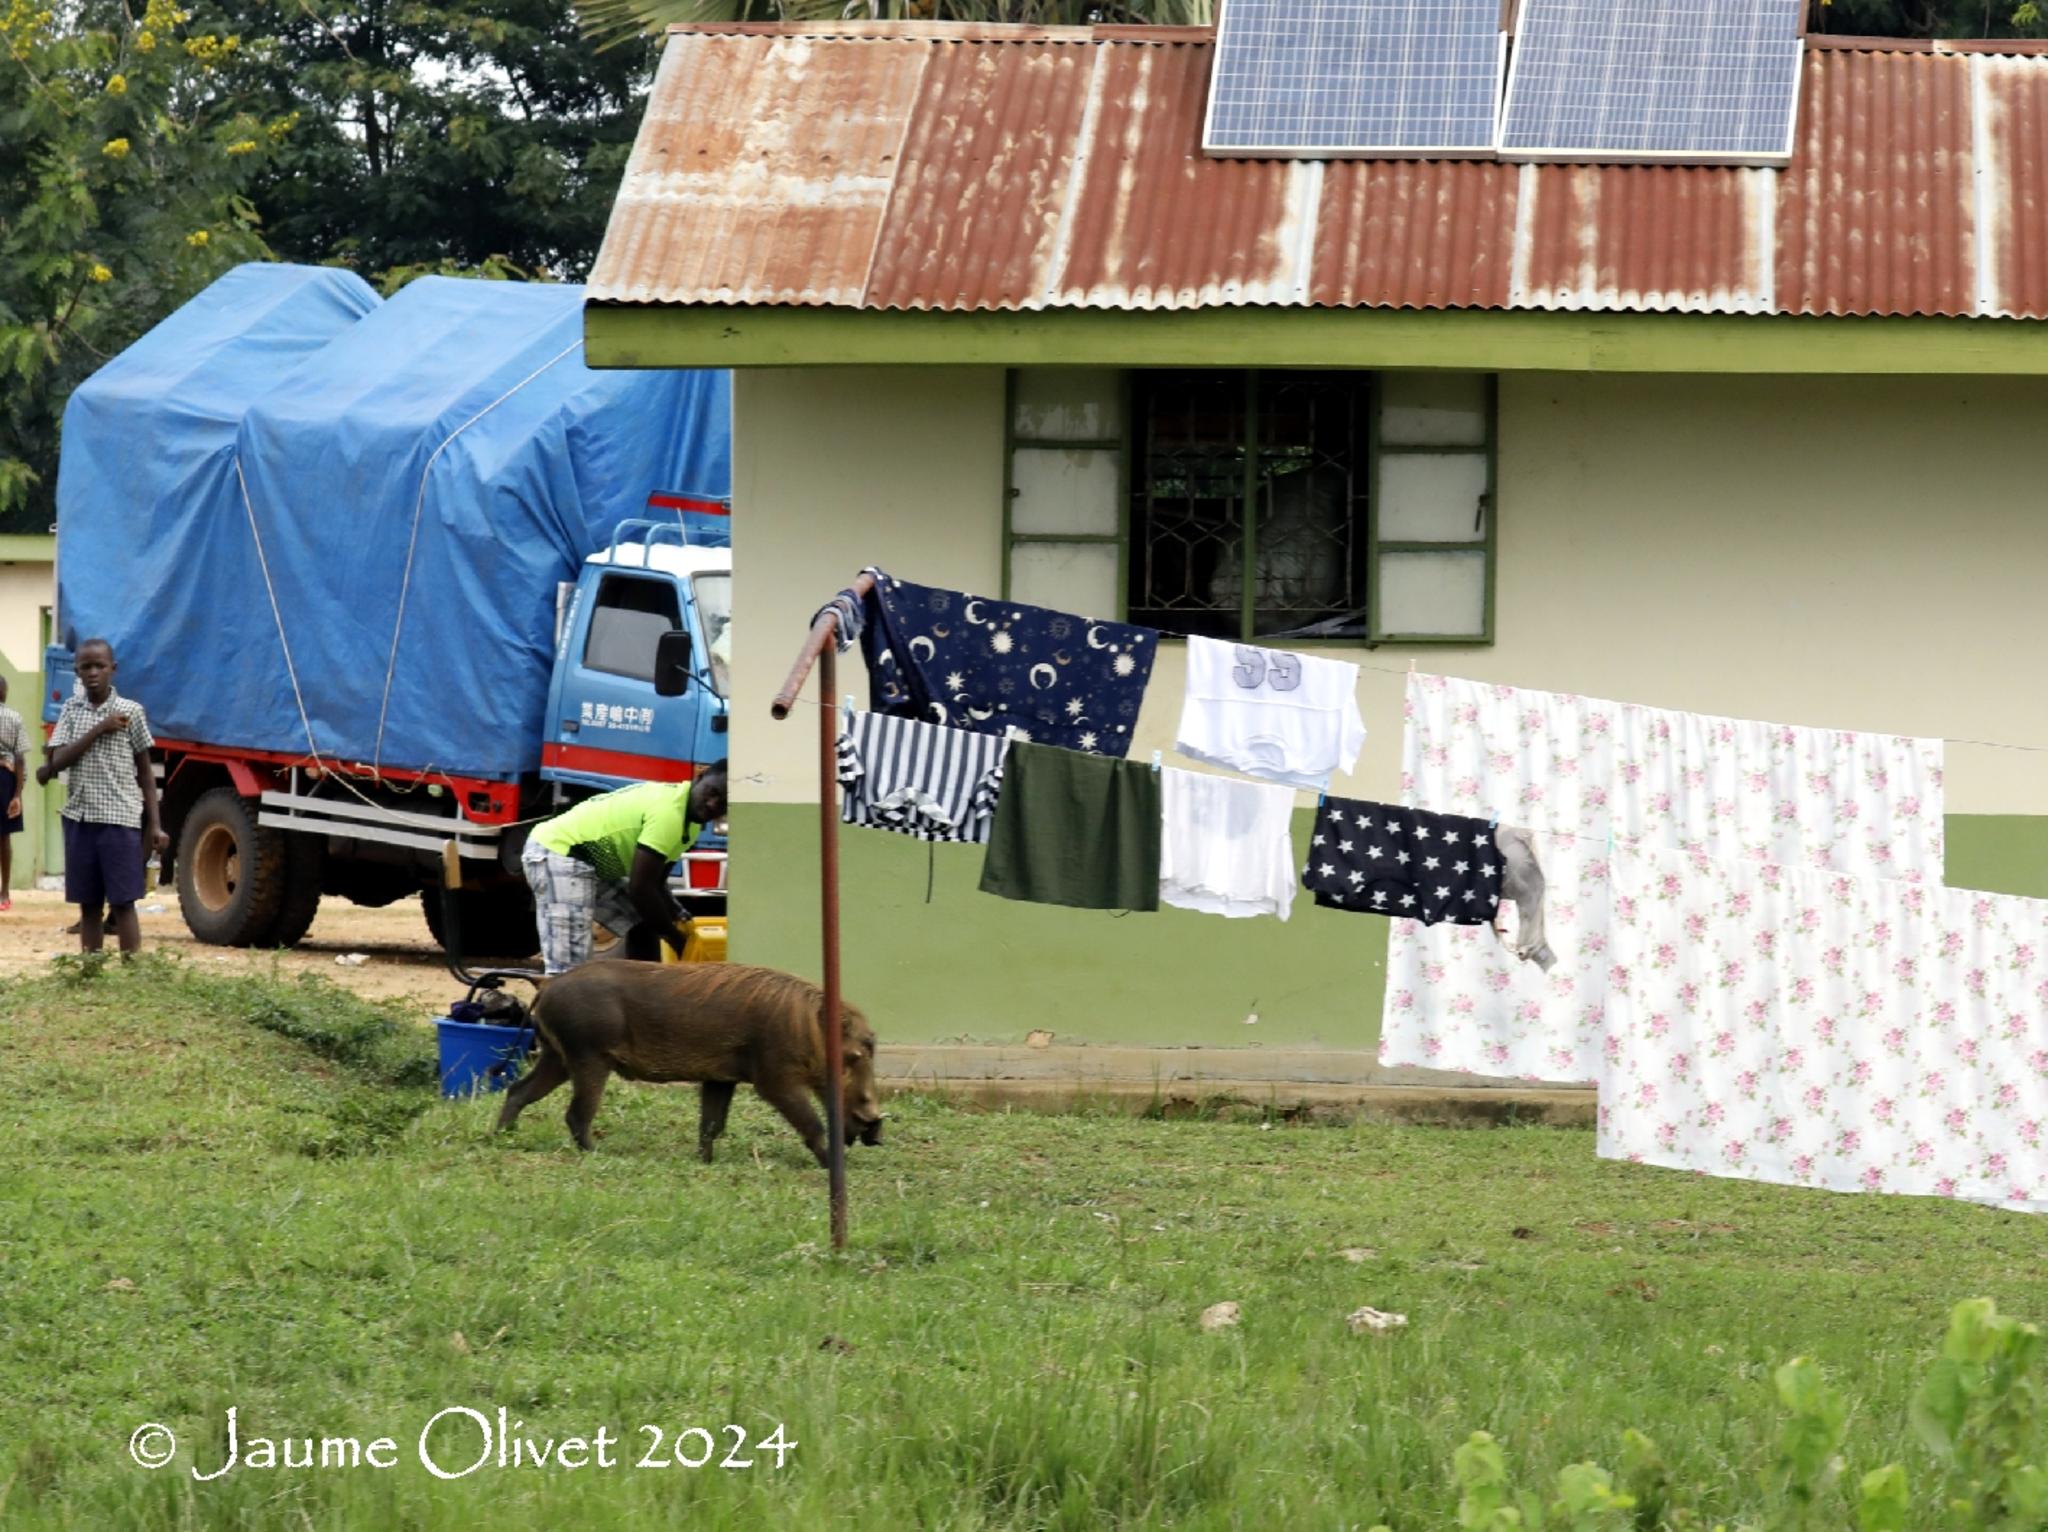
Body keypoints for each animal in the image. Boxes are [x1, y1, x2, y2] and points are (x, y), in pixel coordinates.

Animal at [499, 962, 884, 1163]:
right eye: (858, 1053)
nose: (876, 1133)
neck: (809, 1029)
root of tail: (547, 982)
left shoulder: (721, 1079)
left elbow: (711, 1125)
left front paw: (705, 1163)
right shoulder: (776, 1082)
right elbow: (812, 1124)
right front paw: (833, 1164)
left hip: (557, 1058)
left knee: (518, 1091)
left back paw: (503, 1137)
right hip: (588, 1059)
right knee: (577, 1114)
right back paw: (599, 1154)